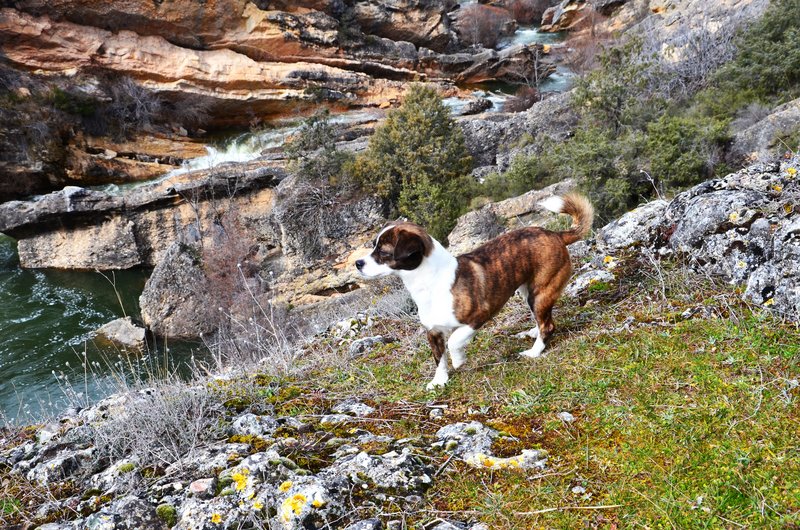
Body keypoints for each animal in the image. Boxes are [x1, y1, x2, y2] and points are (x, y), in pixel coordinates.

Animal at [356, 192, 592, 386]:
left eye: (383, 252)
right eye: (373, 246)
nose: (358, 263)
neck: (431, 282)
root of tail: (556, 235)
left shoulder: (478, 316)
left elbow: (453, 341)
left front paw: (459, 361)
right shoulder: (433, 332)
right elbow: (439, 358)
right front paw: (439, 381)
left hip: (540, 292)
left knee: (548, 325)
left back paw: (534, 352)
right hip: (528, 291)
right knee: (541, 319)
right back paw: (533, 331)